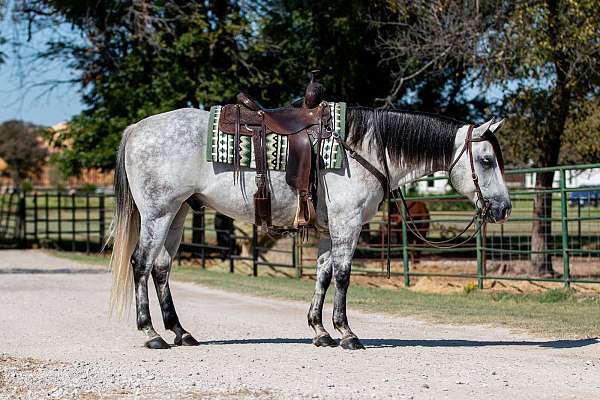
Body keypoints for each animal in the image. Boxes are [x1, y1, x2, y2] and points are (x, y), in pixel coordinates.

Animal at [109, 107, 510, 350]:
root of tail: (137, 128)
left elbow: (323, 274)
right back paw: (151, 333)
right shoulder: (348, 225)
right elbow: (344, 275)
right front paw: (347, 333)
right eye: (486, 160)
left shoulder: (330, 231)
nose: (504, 208)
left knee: (161, 268)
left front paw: (320, 331)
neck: (362, 150)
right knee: (141, 264)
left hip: (176, 215)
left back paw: (180, 331)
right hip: (158, 214)